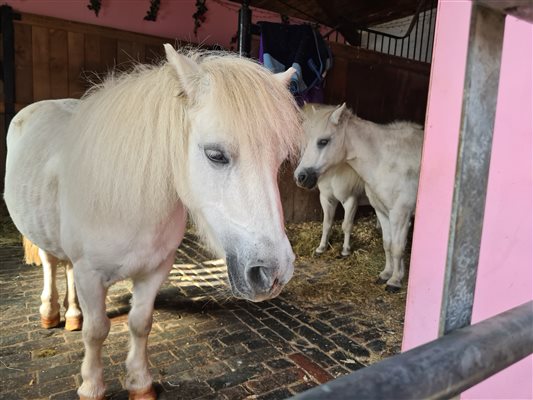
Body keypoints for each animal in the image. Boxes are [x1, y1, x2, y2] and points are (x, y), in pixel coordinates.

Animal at [4, 44, 302, 400]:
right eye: (215, 155)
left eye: (279, 160)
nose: (273, 273)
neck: (130, 206)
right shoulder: (91, 274)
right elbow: (96, 331)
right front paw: (91, 386)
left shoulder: (156, 270)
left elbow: (140, 323)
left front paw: (140, 382)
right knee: (51, 264)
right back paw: (50, 315)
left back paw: (72, 315)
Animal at [294, 103, 422, 290]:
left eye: (323, 141)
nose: (300, 177)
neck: (386, 161)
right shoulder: (382, 211)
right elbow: (388, 244)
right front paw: (386, 274)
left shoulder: (399, 214)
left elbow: (397, 247)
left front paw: (395, 281)